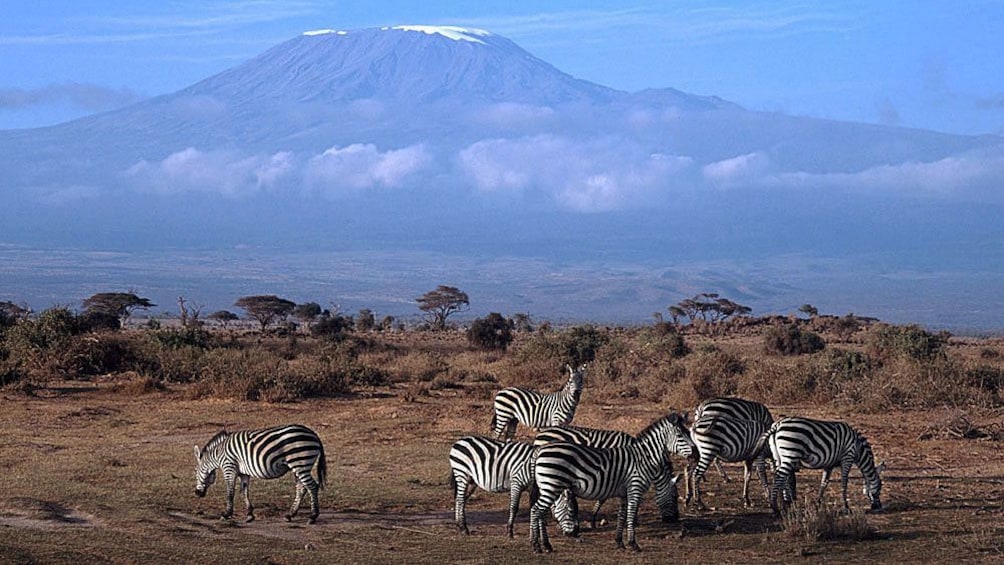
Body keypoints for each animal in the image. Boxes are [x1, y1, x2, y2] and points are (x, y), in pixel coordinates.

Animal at [191, 425, 325, 525]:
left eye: (196, 472)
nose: (197, 493)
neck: (219, 453)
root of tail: (314, 434)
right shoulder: (243, 473)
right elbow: (244, 492)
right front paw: (249, 515)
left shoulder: (229, 467)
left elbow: (230, 492)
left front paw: (226, 514)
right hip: (298, 466)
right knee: (301, 488)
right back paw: (290, 515)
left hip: (300, 462)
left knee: (312, 486)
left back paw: (313, 517)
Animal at [449, 437, 578, 537]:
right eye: (570, 511)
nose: (575, 533)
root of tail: (459, 441)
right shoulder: (517, 482)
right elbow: (514, 507)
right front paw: (510, 531)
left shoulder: (532, 488)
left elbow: (534, 507)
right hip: (462, 474)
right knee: (460, 500)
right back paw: (464, 528)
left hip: (471, 480)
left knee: (461, 500)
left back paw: (459, 525)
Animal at [530, 411, 694, 553]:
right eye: (681, 436)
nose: (673, 520)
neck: (643, 457)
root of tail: (540, 449)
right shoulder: (635, 487)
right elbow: (630, 513)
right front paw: (633, 543)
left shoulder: (624, 492)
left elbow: (622, 515)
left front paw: (619, 542)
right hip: (551, 486)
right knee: (536, 510)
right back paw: (536, 545)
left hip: (547, 486)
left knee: (541, 512)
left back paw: (546, 545)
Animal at [755, 415, 883, 517]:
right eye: (880, 487)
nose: (878, 507)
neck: (858, 448)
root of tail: (777, 425)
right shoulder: (847, 457)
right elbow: (844, 482)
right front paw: (846, 506)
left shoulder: (829, 464)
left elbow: (824, 483)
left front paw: (818, 504)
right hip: (790, 453)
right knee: (779, 478)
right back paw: (775, 508)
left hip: (778, 456)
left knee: (779, 478)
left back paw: (784, 506)